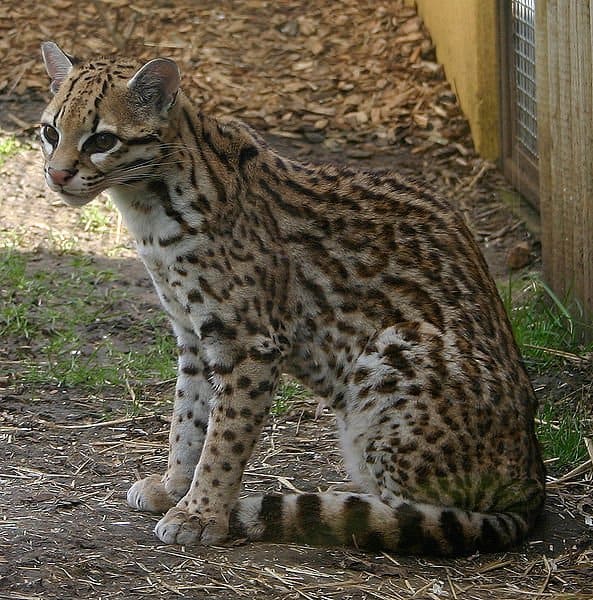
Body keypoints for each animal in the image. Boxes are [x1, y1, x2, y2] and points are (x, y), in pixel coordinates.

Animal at [39, 42, 544, 556]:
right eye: (50, 132)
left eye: (101, 141)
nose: (56, 174)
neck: (151, 208)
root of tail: (532, 486)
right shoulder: (194, 338)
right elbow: (188, 418)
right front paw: (175, 487)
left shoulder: (250, 344)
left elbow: (224, 439)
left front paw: (202, 512)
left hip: (390, 353)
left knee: (435, 509)